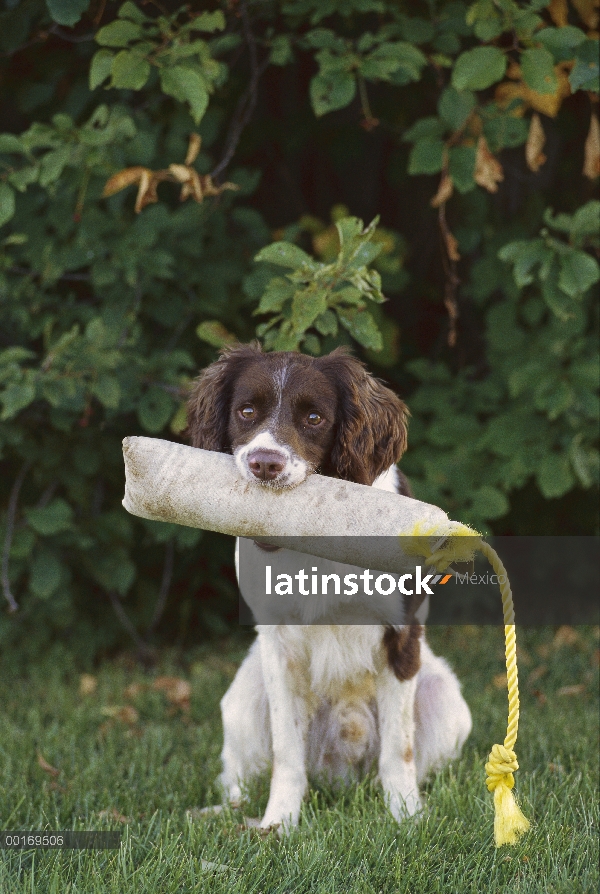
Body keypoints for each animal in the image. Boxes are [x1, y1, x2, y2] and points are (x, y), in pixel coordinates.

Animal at [185, 344, 472, 832]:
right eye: (246, 411)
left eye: (314, 418)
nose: (265, 463)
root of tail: (340, 776)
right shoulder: (278, 643)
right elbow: (286, 753)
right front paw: (279, 825)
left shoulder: (403, 633)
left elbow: (399, 750)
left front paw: (406, 819)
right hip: (243, 697)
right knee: (241, 781)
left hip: (446, 699)